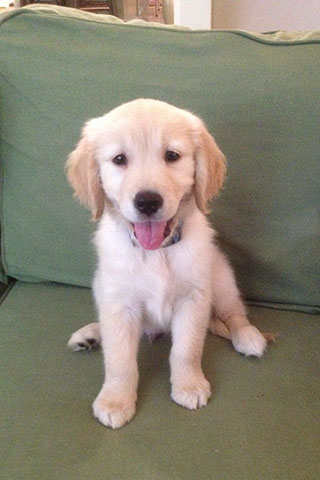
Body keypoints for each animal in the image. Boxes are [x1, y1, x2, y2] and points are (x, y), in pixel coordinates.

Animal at [65, 97, 268, 428]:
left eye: (172, 156)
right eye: (119, 159)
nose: (147, 202)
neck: (156, 251)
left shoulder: (194, 299)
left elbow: (186, 350)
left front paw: (189, 385)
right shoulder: (119, 303)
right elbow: (119, 359)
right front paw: (115, 400)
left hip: (221, 277)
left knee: (235, 313)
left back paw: (249, 336)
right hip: (100, 285)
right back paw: (91, 334)